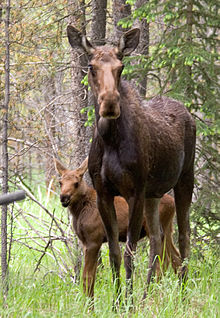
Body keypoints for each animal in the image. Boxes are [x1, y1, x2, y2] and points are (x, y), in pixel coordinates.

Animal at [54, 158, 180, 300]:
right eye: (60, 182)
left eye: (76, 183)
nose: (64, 198)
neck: (79, 211)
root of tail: (172, 203)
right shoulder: (85, 241)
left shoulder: (93, 239)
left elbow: (87, 277)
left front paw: (89, 304)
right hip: (168, 230)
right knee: (176, 258)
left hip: (155, 229)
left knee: (163, 262)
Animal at [67, 26, 196, 302]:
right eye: (91, 66)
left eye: (121, 66)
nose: (110, 103)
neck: (110, 141)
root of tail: (188, 113)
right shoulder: (105, 192)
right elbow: (115, 253)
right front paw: (118, 302)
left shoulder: (134, 191)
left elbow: (129, 253)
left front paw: (129, 302)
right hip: (154, 193)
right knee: (157, 240)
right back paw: (147, 296)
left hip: (184, 179)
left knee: (183, 237)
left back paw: (182, 296)